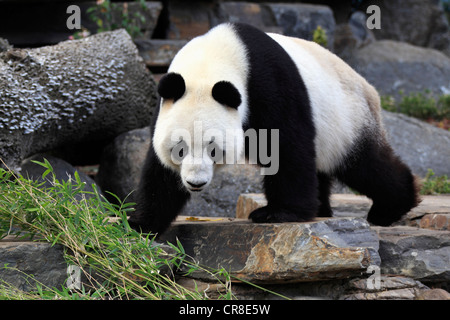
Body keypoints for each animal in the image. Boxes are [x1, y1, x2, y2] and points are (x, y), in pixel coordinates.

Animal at [128, 21, 420, 234]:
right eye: (179, 150)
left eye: (213, 149)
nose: (195, 183)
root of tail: (369, 88)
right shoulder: (165, 106)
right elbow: (160, 172)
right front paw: (141, 223)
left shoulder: (268, 83)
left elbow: (286, 145)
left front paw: (278, 213)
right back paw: (321, 209)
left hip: (349, 119)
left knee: (365, 165)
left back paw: (389, 207)